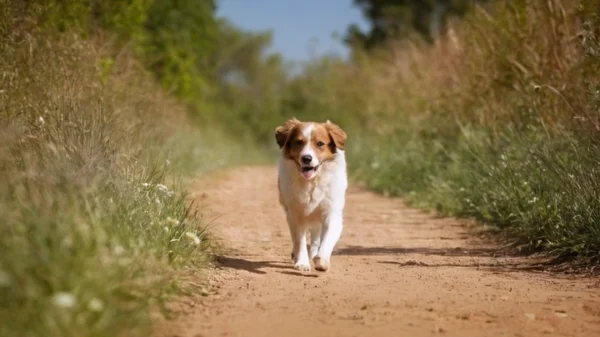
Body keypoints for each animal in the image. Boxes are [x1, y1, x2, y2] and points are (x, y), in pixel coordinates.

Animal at [276, 117, 346, 270]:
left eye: (320, 144)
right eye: (298, 142)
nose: (306, 158)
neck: (312, 182)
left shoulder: (331, 212)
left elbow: (327, 239)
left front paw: (321, 260)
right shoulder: (295, 214)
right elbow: (299, 240)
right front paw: (302, 262)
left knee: (315, 238)